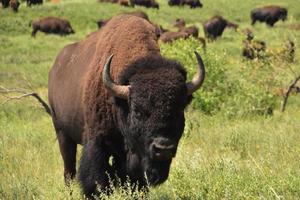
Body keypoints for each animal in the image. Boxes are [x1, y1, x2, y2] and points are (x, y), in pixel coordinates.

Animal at [48, 14, 205, 198]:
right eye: (137, 111)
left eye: (179, 110)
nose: (163, 148)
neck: (120, 103)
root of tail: (55, 68)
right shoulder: (97, 142)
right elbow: (96, 180)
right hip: (62, 133)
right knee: (69, 170)